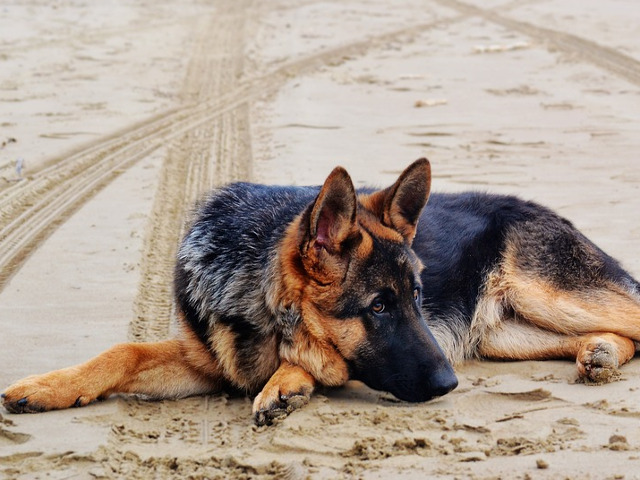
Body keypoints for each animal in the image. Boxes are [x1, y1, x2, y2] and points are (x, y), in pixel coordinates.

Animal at [3, 158, 640, 426]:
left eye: (417, 296)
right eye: (379, 306)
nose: (449, 386)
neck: (254, 293)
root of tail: (542, 209)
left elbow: (315, 357)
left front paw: (289, 381)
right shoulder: (203, 361)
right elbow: (123, 352)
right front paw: (49, 387)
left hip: (550, 297)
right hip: (507, 335)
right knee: (617, 335)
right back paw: (600, 353)